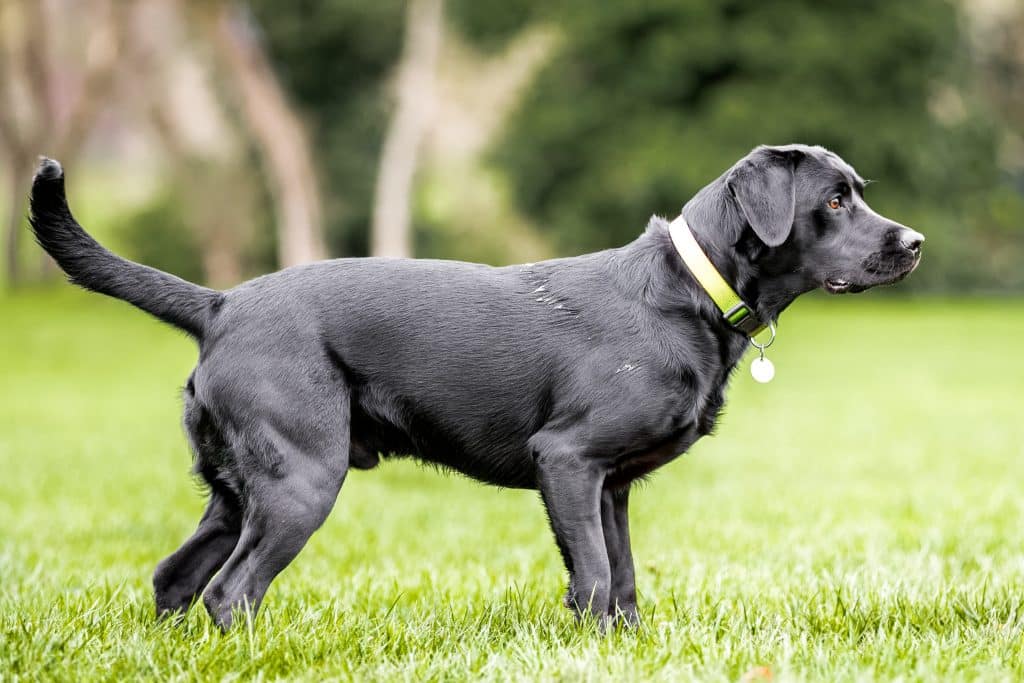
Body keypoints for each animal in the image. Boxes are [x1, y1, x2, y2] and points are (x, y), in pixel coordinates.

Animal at [29, 144, 929, 630]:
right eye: (835, 199)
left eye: (859, 192)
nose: (915, 241)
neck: (688, 288)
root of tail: (219, 304)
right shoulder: (566, 461)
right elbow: (593, 577)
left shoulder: (611, 485)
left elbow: (623, 581)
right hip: (301, 483)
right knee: (230, 591)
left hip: (235, 491)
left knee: (176, 578)